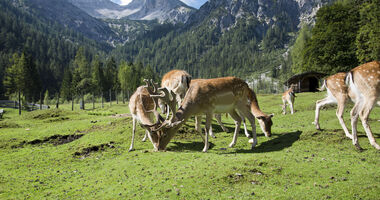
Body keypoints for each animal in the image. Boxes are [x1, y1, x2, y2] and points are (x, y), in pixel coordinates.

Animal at [145, 76, 274, 152]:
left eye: (165, 134)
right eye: (158, 134)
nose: (159, 148)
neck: (194, 103)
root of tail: (247, 85)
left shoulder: (209, 109)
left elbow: (206, 128)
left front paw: (205, 148)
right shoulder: (198, 113)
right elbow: (197, 128)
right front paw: (206, 144)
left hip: (241, 102)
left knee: (251, 118)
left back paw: (254, 143)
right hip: (231, 108)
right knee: (238, 120)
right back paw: (232, 144)